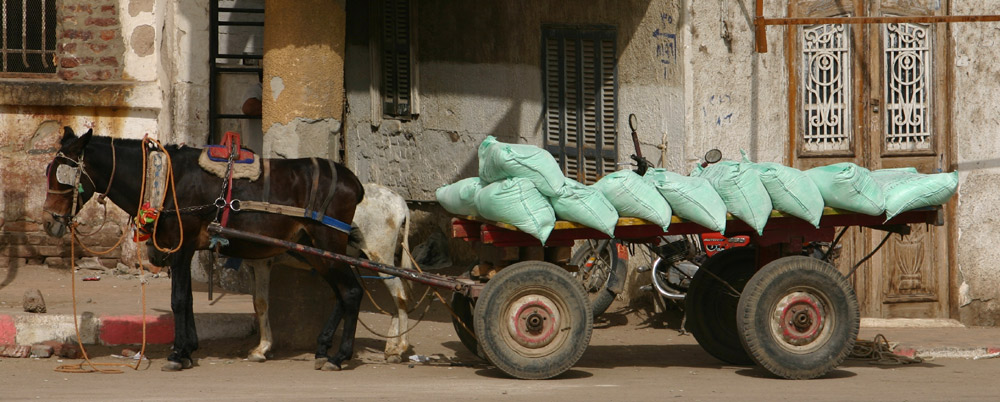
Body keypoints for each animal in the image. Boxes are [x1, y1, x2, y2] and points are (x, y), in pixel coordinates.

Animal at [42, 127, 368, 372]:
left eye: (62, 173)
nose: (48, 221)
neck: (165, 181)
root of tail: (354, 181)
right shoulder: (183, 249)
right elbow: (186, 300)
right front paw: (188, 349)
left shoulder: (180, 245)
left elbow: (178, 300)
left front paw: (177, 354)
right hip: (315, 249)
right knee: (342, 293)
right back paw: (323, 348)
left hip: (327, 242)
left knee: (351, 291)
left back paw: (339, 356)